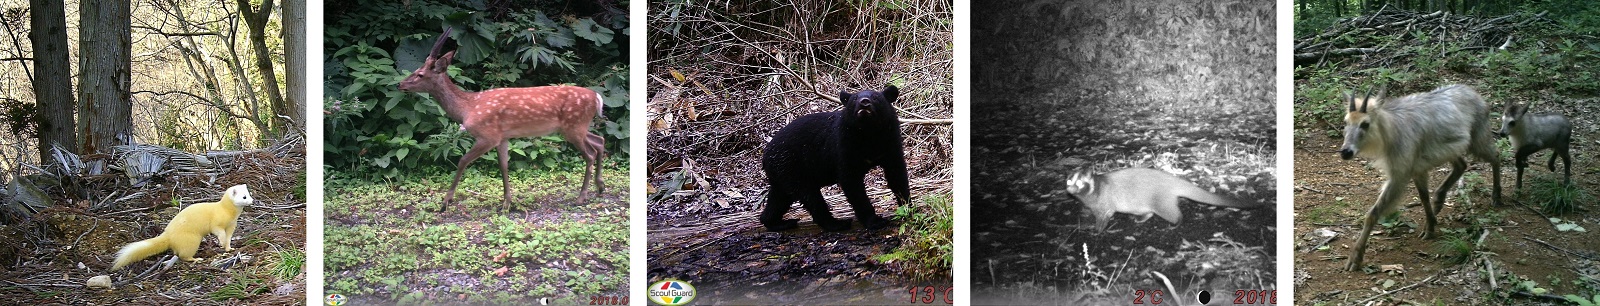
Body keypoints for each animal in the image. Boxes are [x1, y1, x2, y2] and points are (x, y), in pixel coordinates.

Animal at [396, 27, 601, 211]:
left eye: (420, 74)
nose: (400, 84)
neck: (468, 108)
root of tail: (597, 97)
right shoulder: (503, 137)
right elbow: (503, 166)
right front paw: (507, 203)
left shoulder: (488, 135)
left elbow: (463, 160)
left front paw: (445, 202)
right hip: (577, 127)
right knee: (599, 141)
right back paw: (600, 187)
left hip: (573, 126)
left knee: (590, 153)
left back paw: (581, 197)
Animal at [755, 84, 908, 230]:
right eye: (854, 99)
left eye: (876, 97)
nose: (864, 102)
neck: (868, 133)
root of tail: (765, 155)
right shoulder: (844, 145)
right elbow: (851, 182)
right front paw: (875, 221)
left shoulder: (890, 141)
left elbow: (896, 174)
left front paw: (907, 207)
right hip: (791, 167)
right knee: (810, 197)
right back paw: (837, 223)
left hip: (782, 173)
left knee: (779, 198)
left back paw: (777, 223)